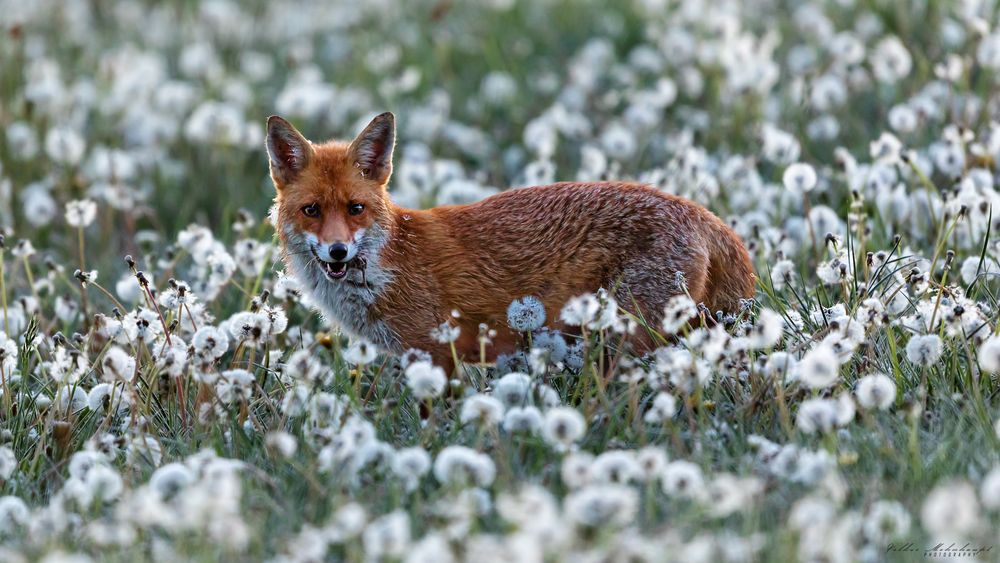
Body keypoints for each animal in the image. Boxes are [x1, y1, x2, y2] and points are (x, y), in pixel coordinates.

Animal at [266, 112, 752, 368]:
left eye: (355, 209)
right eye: (312, 211)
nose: (338, 251)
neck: (390, 265)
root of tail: (702, 213)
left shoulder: (442, 353)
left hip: (629, 336)